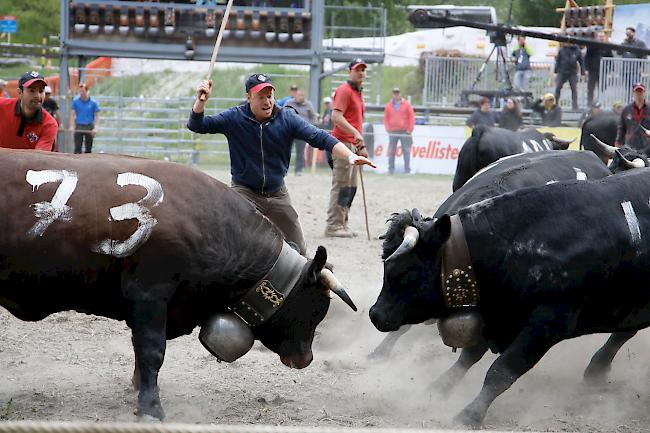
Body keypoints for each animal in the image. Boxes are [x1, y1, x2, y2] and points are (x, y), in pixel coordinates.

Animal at [370, 169, 650, 426]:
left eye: (400, 272)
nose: (375, 314)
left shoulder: (548, 324)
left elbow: (502, 371)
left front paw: (469, 415)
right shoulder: (495, 313)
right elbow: (468, 357)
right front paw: (438, 389)